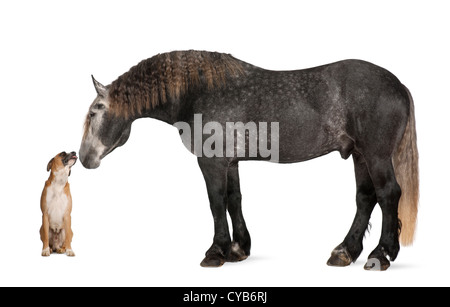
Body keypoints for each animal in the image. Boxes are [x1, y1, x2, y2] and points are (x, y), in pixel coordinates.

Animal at [78, 51, 418, 272]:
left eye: (94, 112)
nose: (84, 158)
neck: (199, 91)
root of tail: (399, 85)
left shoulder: (212, 162)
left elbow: (216, 202)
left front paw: (215, 252)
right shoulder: (230, 163)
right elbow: (234, 199)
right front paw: (238, 248)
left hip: (375, 155)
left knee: (388, 195)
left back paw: (381, 255)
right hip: (359, 155)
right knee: (366, 198)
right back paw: (345, 251)